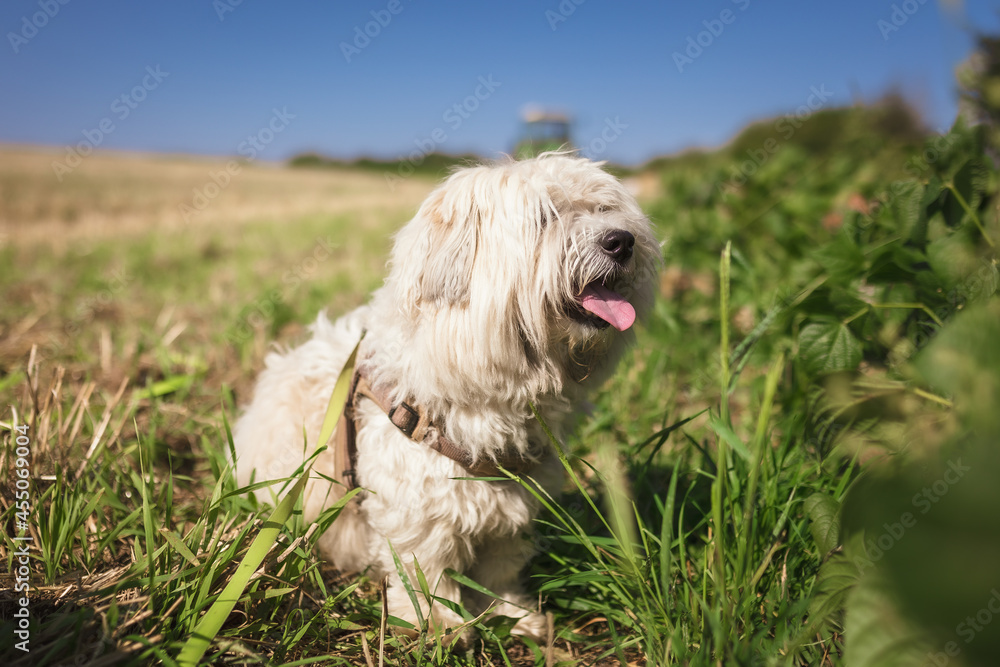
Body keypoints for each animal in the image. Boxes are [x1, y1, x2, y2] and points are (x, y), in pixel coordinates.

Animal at [230, 153, 660, 640]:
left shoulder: (514, 506)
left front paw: (513, 614)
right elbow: (425, 570)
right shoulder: (419, 510)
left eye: (605, 209)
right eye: (544, 217)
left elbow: (501, 568)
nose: (622, 241)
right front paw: (439, 624)